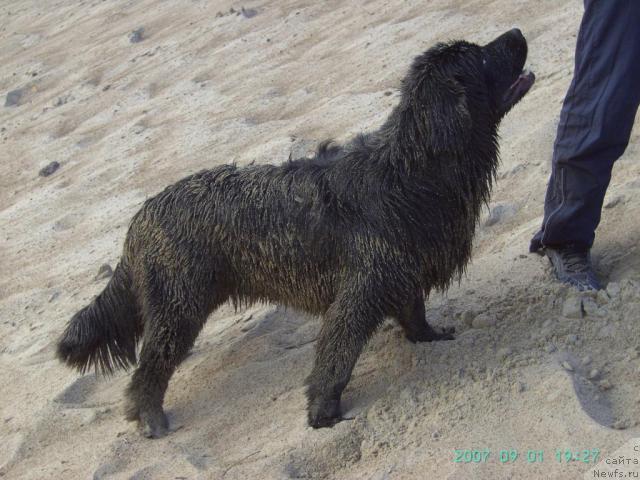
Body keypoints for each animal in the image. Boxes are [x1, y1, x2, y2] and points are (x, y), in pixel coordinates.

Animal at [56, 28, 536, 436]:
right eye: (482, 56)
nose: (517, 32)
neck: (412, 173)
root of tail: (142, 215)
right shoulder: (361, 290)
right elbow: (335, 360)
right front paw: (324, 414)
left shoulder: (402, 271)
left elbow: (414, 313)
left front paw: (430, 338)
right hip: (179, 306)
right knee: (149, 370)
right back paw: (152, 419)